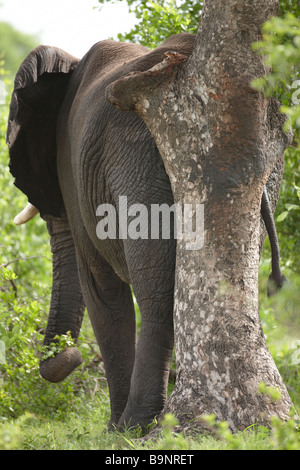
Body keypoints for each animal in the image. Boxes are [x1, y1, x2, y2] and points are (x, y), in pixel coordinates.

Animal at [5, 32, 286, 430]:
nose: (67, 358)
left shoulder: (71, 166)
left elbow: (100, 287)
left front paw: (112, 430)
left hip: (137, 162)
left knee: (155, 294)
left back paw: (134, 424)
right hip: (261, 170)